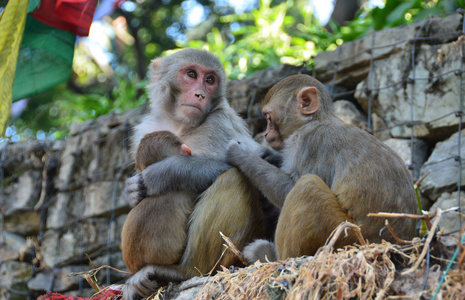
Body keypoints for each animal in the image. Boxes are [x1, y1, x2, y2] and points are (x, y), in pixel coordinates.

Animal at [226, 74, 416, 262]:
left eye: (268, 117)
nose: (265, 134)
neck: (314, 120)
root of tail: (396, 246)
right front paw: (268, 155)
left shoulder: (311, 142)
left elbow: (288, 189)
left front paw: (241, 154)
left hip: (345, 235)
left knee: (306, 186)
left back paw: (275, 257)